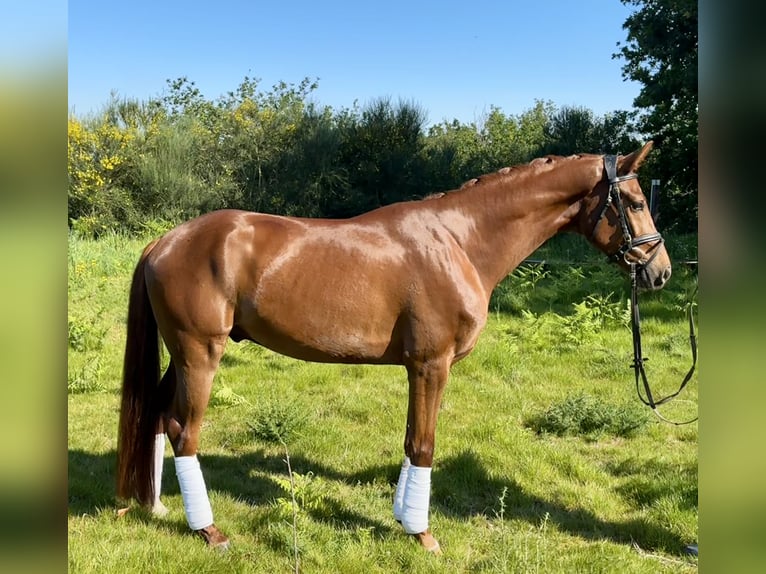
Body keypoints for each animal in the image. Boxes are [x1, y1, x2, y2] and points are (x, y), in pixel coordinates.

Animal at [115, 141, 672, 552]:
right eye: (637, 203)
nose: (660, 272)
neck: (458, 242)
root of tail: (164, 242)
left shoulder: (416, 367)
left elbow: (409, 442)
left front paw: (403, 519)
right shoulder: (432, 365)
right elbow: (424, 445)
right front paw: (423, 535)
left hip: (181, 356)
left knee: (157, 418)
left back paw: (155, 505)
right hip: (199, 354)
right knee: (184, 431)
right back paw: (208, 530)